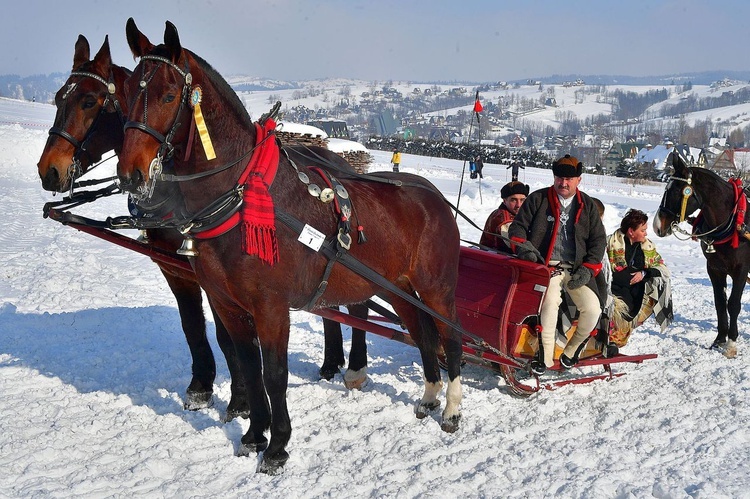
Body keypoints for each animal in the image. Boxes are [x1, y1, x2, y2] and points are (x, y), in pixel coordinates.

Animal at [117, 18, 464, 472]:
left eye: (169, 95)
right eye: (127, 90)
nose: (131, 174)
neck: (243, 196)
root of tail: (434, 196)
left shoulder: (271, 306)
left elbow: (274, 374)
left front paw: (277, 445)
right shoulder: (227, 302)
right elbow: (248, 366)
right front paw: (252, 435)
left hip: (437, 287)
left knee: (450, 338)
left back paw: (452, 409)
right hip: (397, 287)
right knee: (423, 334)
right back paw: (428, 398)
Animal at [656, 152, 748, 360]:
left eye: (676, 191)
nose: (657, 225)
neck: (730, 225)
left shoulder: (741, 270)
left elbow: (733, 304)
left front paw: (731, 343)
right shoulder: (714, 269)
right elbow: (720, 303)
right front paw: (719, 339)